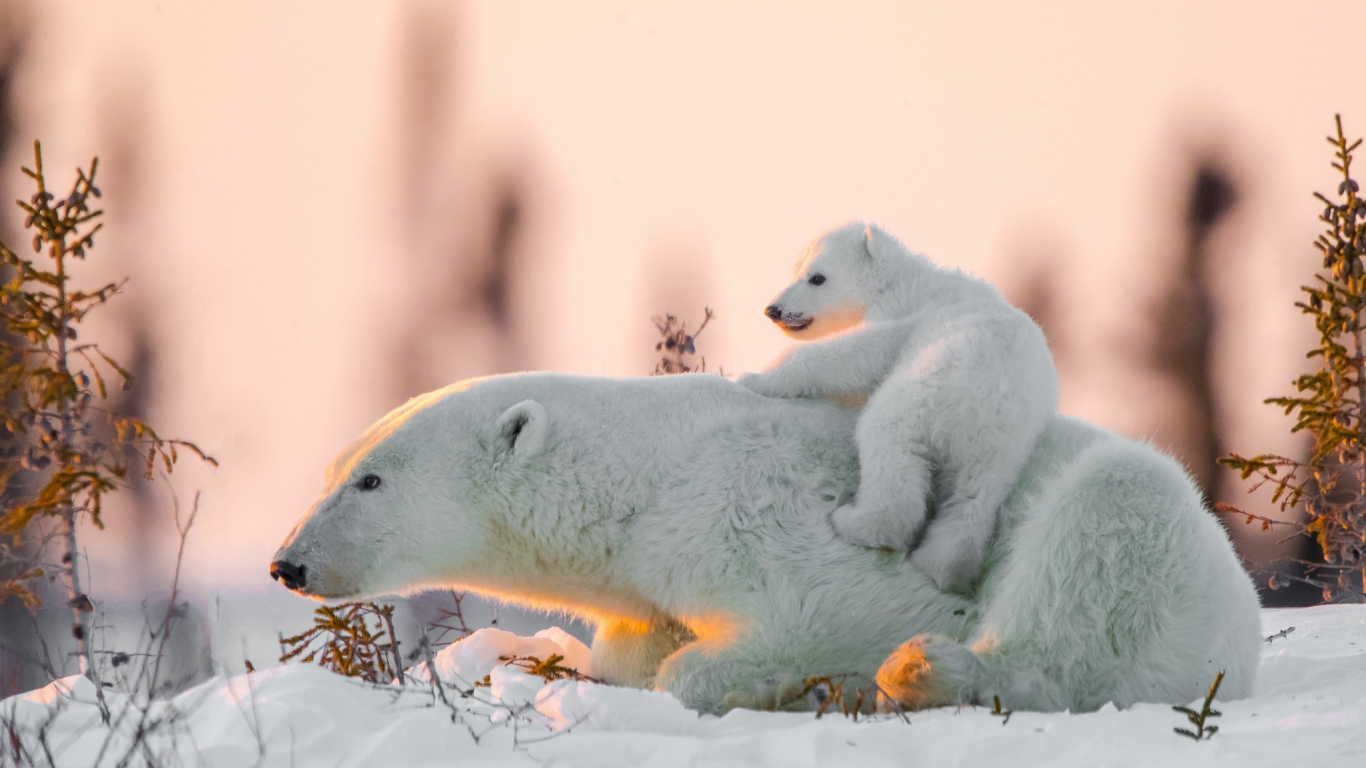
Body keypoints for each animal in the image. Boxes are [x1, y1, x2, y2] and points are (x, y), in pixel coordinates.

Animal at [269, 371, 1256, 710]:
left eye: (370, 480)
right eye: (333, 467)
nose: (288, 563)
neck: (648, 474)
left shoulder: (751, 508)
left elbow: (827, 613)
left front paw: (754, 679)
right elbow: (633, 642)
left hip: (1146, 542)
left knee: (1092, 558)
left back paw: (928, 672)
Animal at [743, 222, 1060, 593]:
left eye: (817, 277)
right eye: (795, 271)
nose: (773, 309)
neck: (901, 278)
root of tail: (993, 406)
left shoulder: (904, 313)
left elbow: (855, 353)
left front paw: (755, 378)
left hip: (926, 389)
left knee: (888, 444)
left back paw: (855, 522)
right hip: (1003, 450)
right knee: (971, 502)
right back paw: (939, 564)